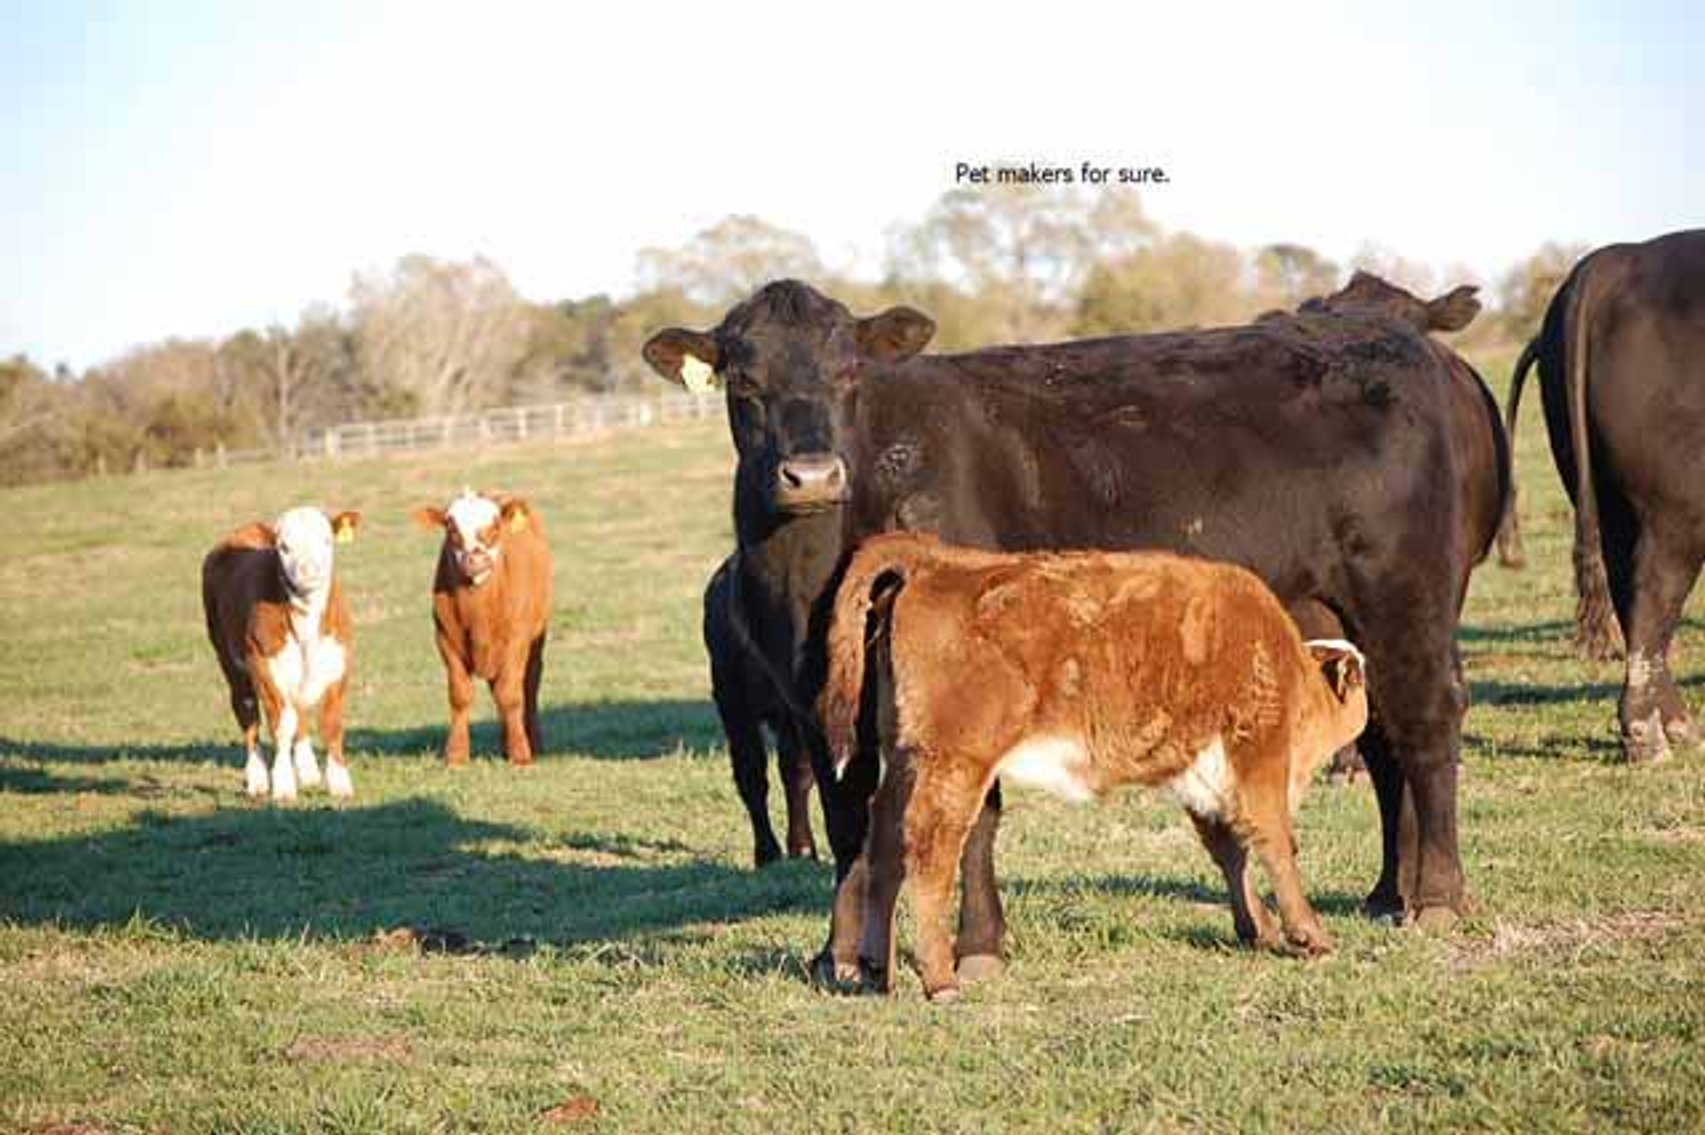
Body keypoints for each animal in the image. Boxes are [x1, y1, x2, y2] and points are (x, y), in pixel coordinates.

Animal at [202, 506, 362, 801]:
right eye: (283, 547)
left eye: (327, 540)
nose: (308, 571)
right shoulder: (264, 664)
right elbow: (282, 724)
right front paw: (284, 784)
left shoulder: (337, 660)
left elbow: (331, 722)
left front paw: (339, 783)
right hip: (229, 661)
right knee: (248, 715)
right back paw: (257, 779)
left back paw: (308, 771)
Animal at [413, 490, 553, 765]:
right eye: (451, 527)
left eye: (496, 525)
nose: (476, 559)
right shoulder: (445, 639)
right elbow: (460, 695)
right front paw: (456, 754)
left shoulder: (516, 640)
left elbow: (510, 695)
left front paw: (521, 753)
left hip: (535, 639)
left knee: (529, 686)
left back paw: (534, 743)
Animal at [820, 534, 1369, 1001]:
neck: (1286, 666)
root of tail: (939, 560)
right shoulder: (1259, 759)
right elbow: (1276, 845)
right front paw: (1309, 934)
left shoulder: (1204, 780)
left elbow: (1232, 853)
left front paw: (1261, 929)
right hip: (955, 764)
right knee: (930, 851)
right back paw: (939, 979)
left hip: (906, 758)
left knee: (884, 841)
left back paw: (876, 968)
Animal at [1499, 230, 1705, 762]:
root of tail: (1610, 262)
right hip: (1679, 508)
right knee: (1654, 590)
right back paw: (1647, 737)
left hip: (1608, 499)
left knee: (1627, 589)